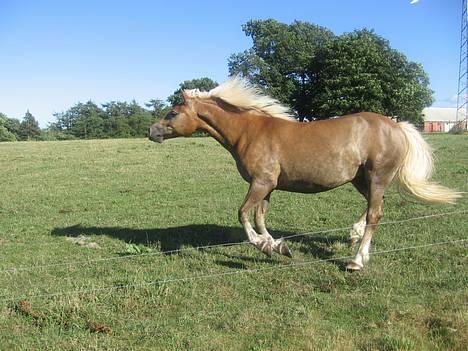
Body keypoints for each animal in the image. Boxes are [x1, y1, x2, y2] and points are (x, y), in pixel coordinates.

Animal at [150, 77, 460, 270]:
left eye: (172, 113)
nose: (152, 131)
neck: (249, 131)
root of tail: (396, 126)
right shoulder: (267, 186)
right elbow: (260, 218)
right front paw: (276, 246)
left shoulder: (261, 183)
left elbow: (243, 215)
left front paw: (263, 246)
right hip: (362, 180)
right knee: (376, 207)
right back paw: (353, 234)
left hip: (377, 176)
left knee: (375, 214)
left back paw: (357, 260)